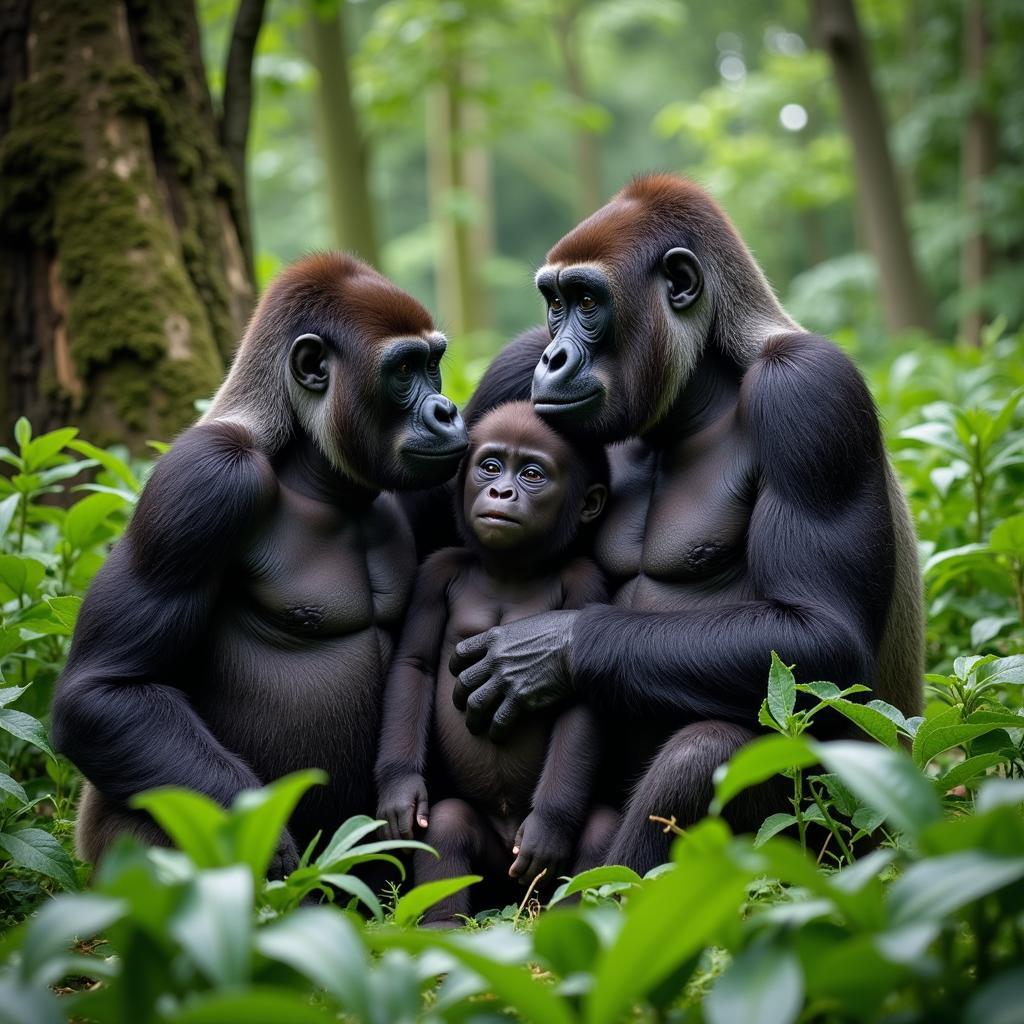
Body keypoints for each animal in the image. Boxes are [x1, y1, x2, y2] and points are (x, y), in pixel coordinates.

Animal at [54, 253, 468, 872]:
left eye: (434, 364)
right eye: (403, 370)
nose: (447, 411)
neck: (306, 460)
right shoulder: (207, 477)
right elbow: (105, 691)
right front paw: (265, 847)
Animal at [376, 401, 614, 929]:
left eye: (532, 474)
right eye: (489, 466)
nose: (501, 492)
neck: (511, 567)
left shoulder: (587, 581)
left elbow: (581, 693)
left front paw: (549, 825)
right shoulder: (435, 573)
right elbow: (415, 666)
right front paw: (400, 786)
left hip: (533, 873)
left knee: (598, 831)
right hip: (491, 867)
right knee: (449, 824)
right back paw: (442, 928)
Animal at [452, 176, 925, 872]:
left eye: (587, 301)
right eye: (553, 303)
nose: (554, 357)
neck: (699, 387)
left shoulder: (809, 391)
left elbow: (825, 638)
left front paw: (549, 649)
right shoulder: (515, 364)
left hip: (854, 839)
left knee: (704, 754)